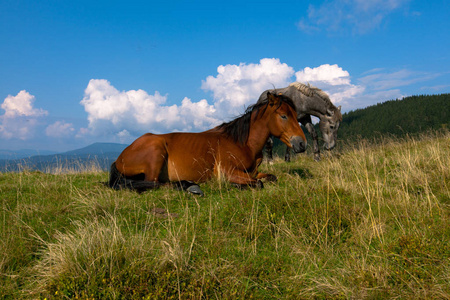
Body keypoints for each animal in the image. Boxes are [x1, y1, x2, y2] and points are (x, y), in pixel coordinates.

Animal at [109, 91, 306, 195]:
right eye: (283, 116)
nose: (302, 144)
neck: (243, 144)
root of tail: (120, 157)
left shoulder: (253, 172)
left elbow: (270, 177)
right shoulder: (228, 171)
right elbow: (257, 183)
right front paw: (234, 185)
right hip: (156, 152)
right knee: (153, 184)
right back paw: (189, 186)